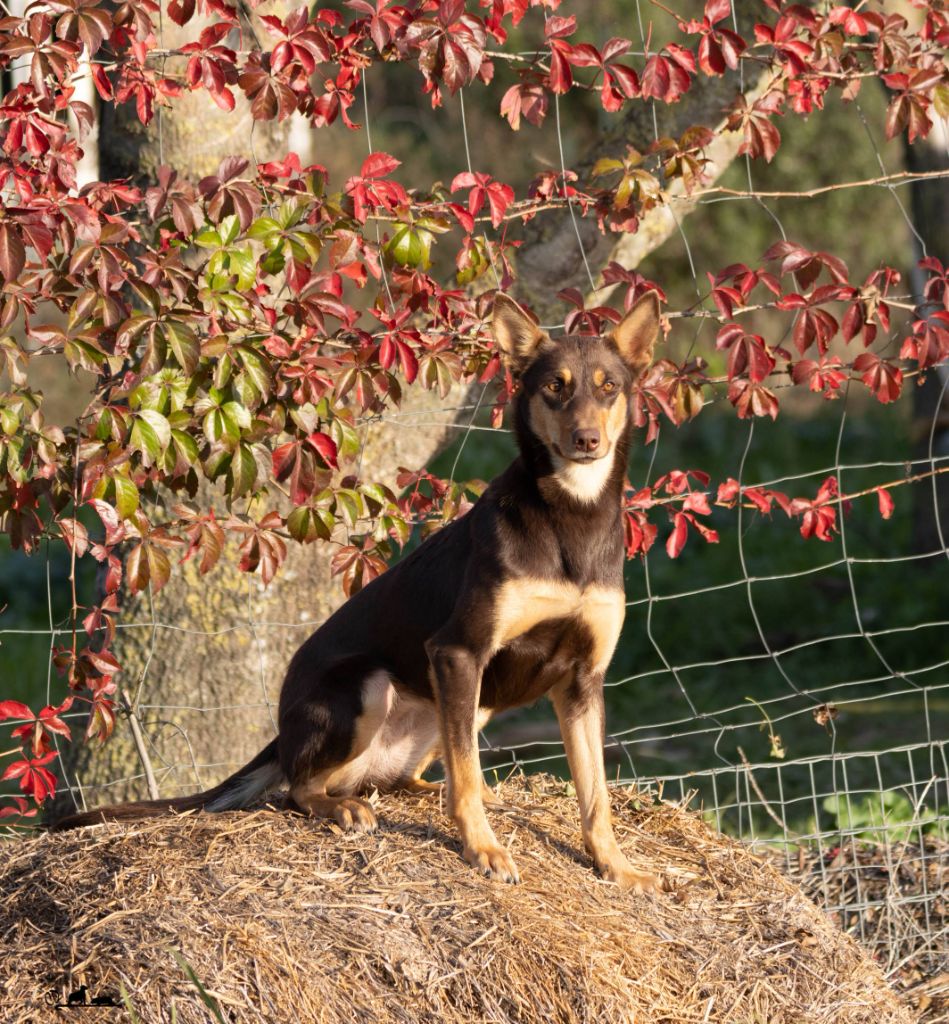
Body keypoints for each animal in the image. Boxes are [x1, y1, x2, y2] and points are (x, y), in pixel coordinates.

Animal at [53, 292, 659, 892]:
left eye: (609, 386)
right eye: (554, 386)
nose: (587, 441)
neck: (573, 518)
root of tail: (283, 731)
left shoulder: (583, 680)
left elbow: (594, 793)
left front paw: (617, 865)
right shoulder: (458, 652)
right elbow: (467, 773)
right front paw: (484, 849)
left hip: (467, 702)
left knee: (415, 774)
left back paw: (441, 793)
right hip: (370, 686)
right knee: (302, 787)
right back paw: (345, 808)